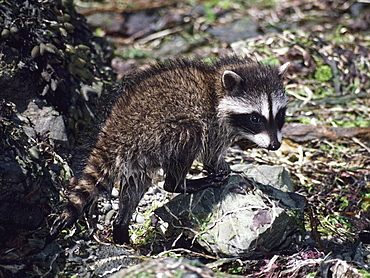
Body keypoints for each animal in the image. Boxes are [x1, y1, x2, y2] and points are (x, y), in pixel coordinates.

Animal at [51, 56, 290, 243]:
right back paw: (180, 183)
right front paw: (221, 167)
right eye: (255, 118)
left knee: (136, 185)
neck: (215, 88)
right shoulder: (214, 124)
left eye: (279, 115)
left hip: (138, 154)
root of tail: (115, 129)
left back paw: (121, 226)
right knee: (190, 134)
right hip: (160, 132)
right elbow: (210, 155)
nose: (275, 145)